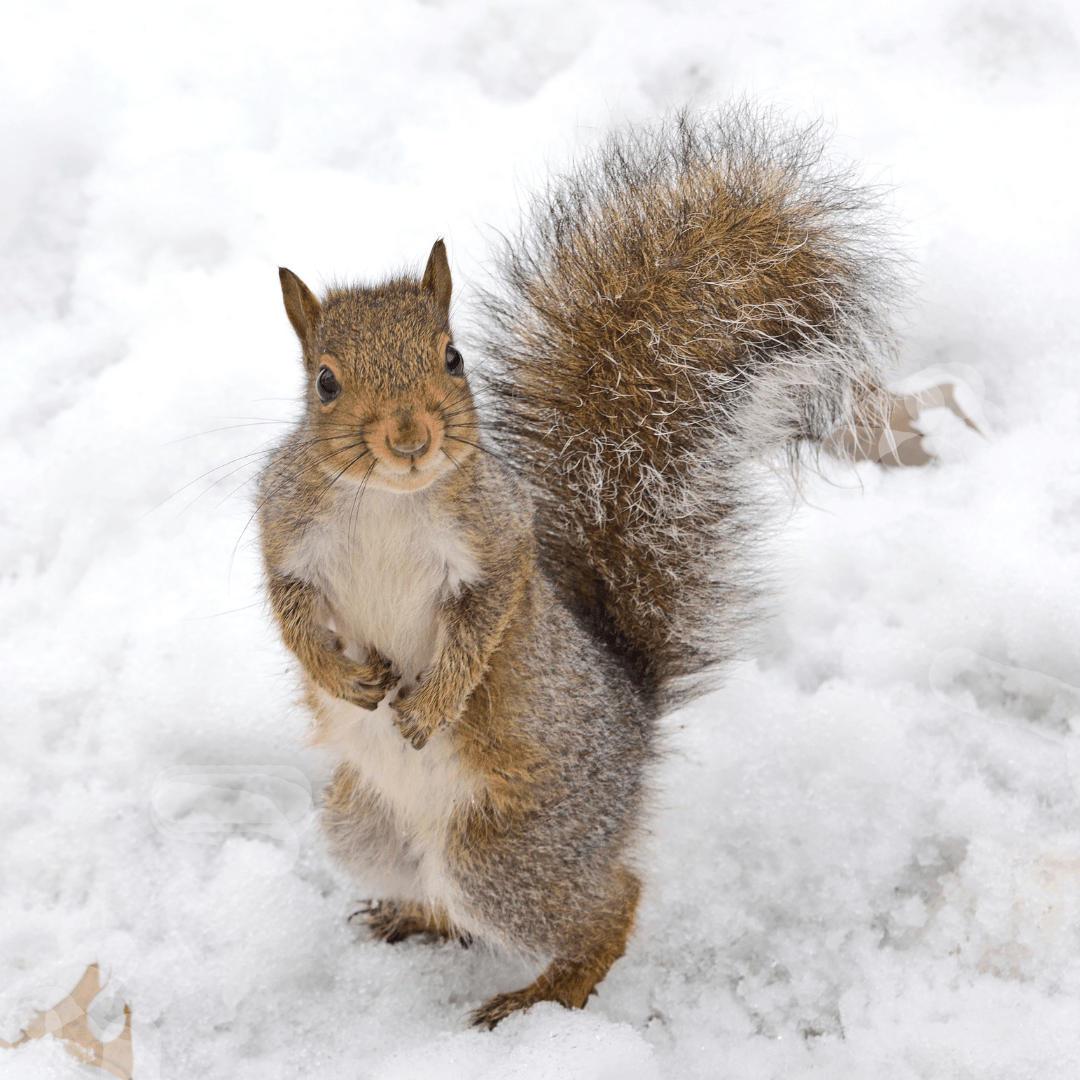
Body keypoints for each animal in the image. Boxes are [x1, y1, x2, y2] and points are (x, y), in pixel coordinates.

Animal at [257, 107, 898, 1028]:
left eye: (452, 358)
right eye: (325, 383)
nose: (410, 437)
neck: (387, 501)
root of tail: (635, 717)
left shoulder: (498, 539)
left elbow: (488, 618)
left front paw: (435, 702)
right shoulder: (285, 538)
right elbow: (292, 617)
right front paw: (341, 679)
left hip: (511, 849)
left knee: (610, 901)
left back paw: (543, 994)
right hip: (362, 827)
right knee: (448, 897)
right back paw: (416, 914)